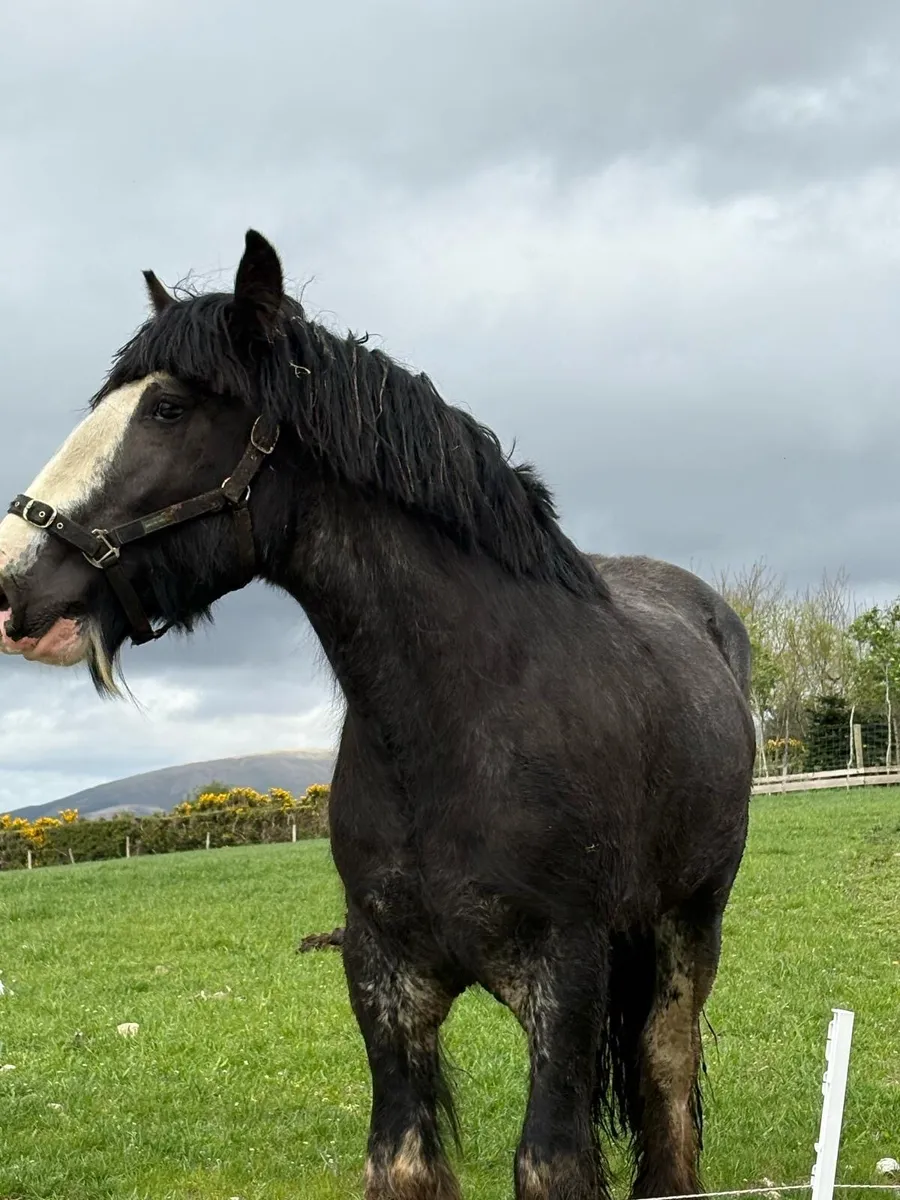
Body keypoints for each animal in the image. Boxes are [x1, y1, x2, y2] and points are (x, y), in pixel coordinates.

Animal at [0, 230, 755, 1200]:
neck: (456, 722)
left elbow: (550, 1162)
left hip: (689, 921)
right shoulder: (384, 978)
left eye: (167, 408)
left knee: (667, 1075)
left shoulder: (568, 975)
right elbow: (401, 1161)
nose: (14, 582)